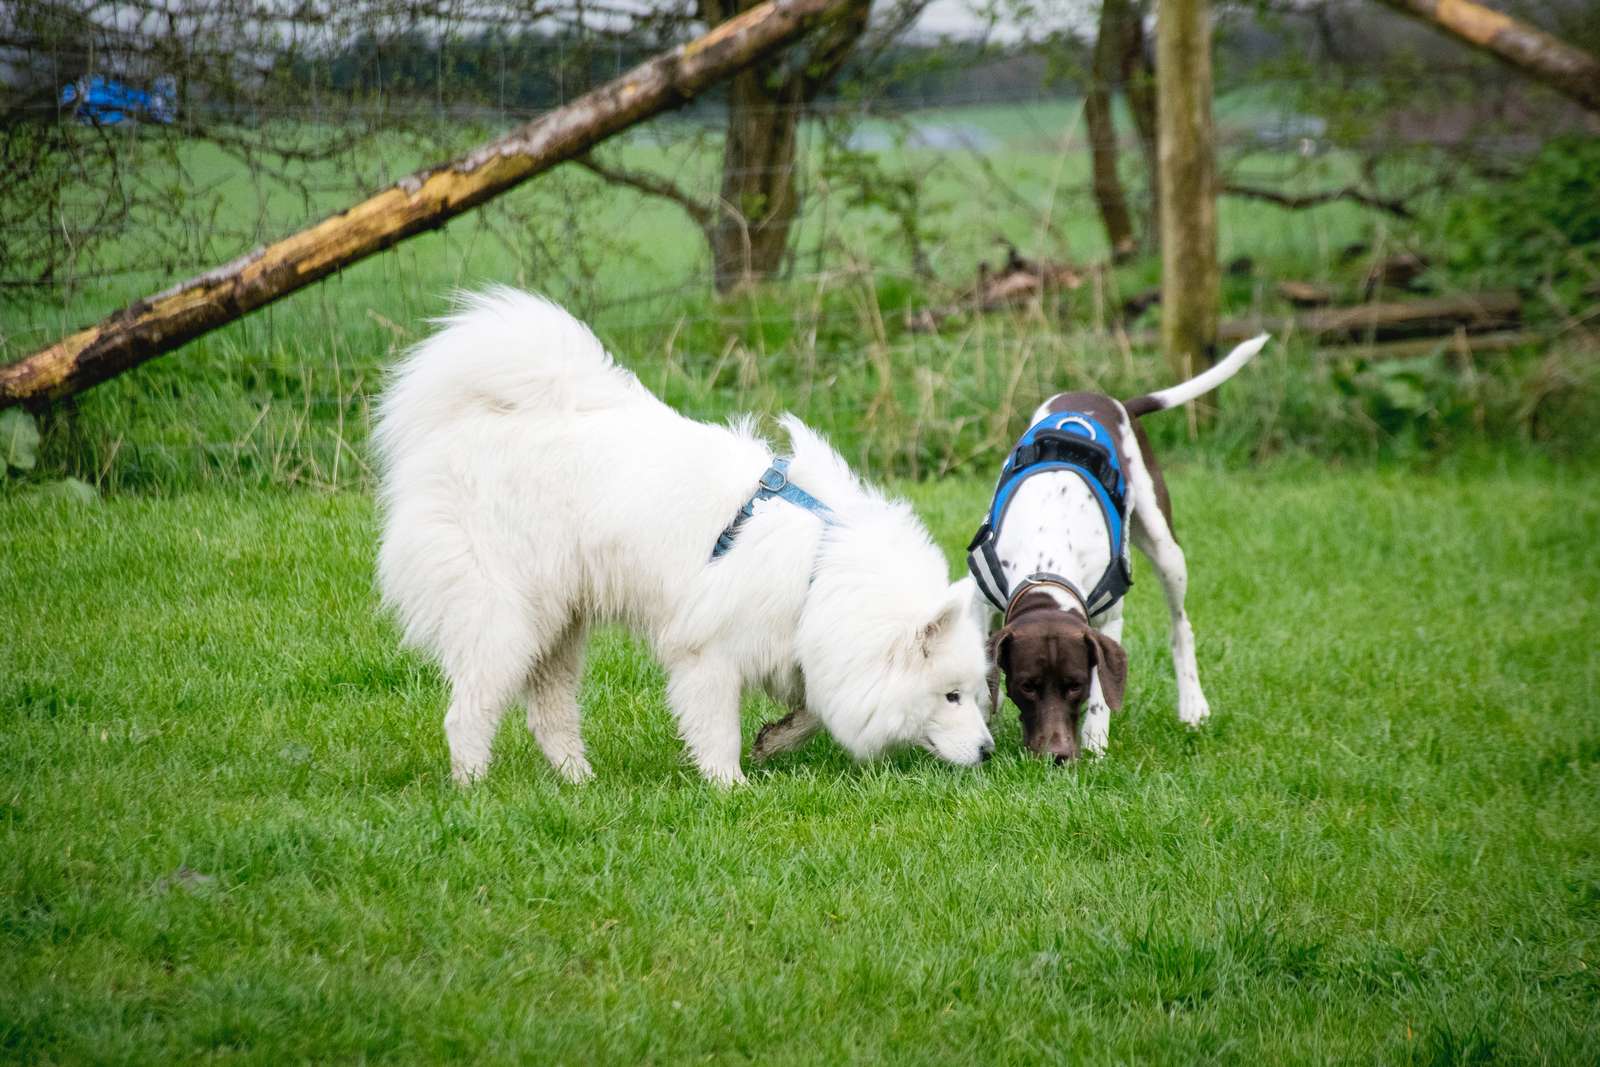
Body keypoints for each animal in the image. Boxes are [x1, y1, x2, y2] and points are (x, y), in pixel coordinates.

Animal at [379, 287, 992, 790]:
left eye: (975, 691)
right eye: (951, 696)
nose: (989, 751)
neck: (819, 570)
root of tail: (467, 425)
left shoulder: (804, 644)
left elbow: (812, 709)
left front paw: (775, 739)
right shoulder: (709, 654)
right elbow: (718, 730)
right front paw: (730, 787)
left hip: (559, 628)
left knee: (548, 715)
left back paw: (580, 783)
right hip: (509, 621)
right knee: (468, 713)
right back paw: (474, 790)